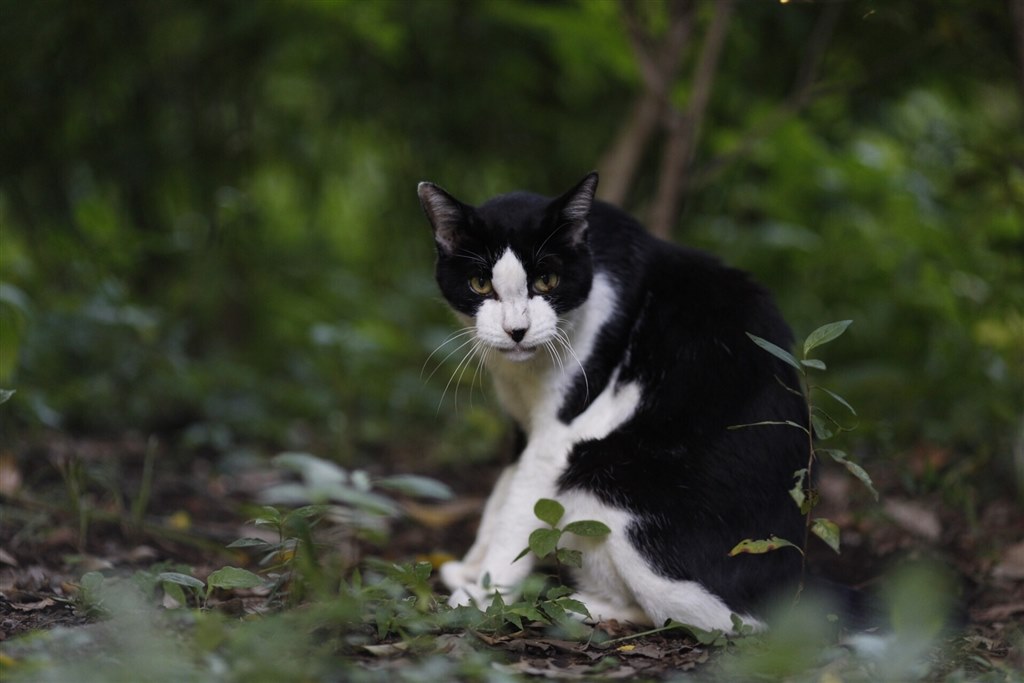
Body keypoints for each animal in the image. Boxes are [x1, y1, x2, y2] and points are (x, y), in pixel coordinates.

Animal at [415, 174, 806, 634]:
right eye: (480, 284)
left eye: (547, 281)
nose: (516, 330)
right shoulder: (523, 423)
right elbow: (501, 491)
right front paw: (473, 569)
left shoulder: (560, 432)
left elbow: (518, 507)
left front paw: (484, 598)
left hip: (605, 480)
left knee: (706, 618)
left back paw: (572, 606)